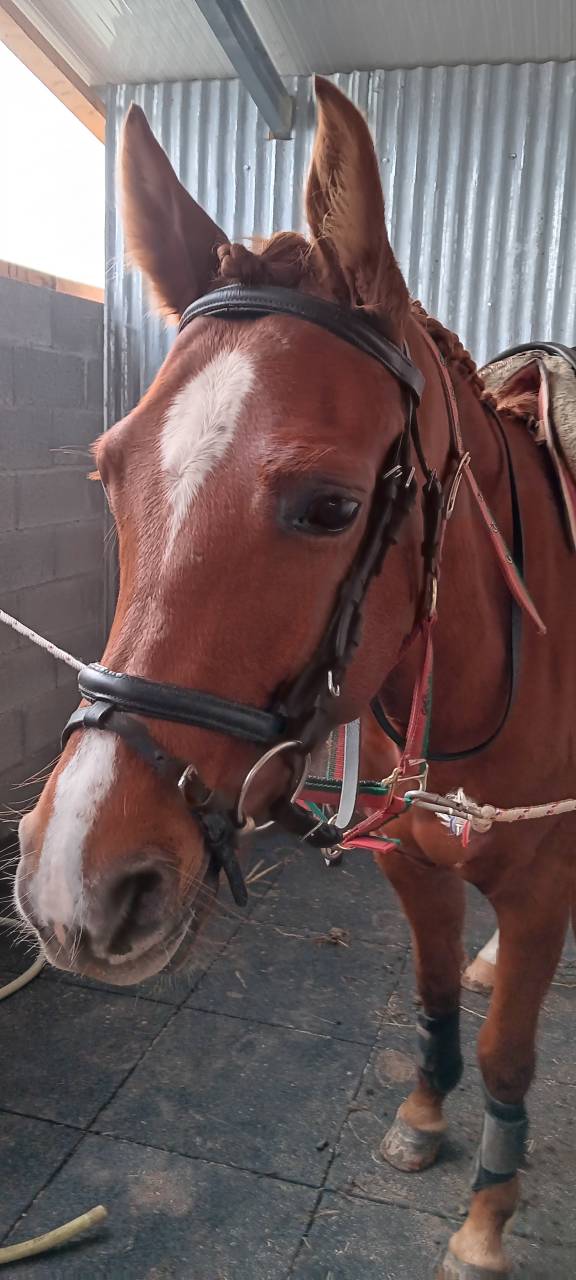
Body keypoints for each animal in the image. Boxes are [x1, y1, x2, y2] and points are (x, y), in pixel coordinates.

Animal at [14, 76, 576, 1279]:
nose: (73, 886)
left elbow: (509, 1056)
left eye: (329, 505)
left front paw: (486, 1218)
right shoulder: (412, 865)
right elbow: (431, 1000)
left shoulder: (544, 890)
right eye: (108, 472)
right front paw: (422, 1118)